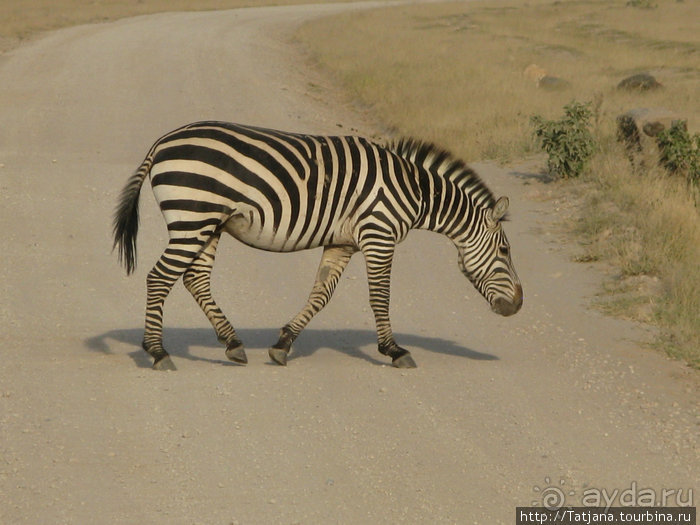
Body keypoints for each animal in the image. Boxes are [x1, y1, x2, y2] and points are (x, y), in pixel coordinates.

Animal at [113, 121, 520, 370]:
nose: (517, 306)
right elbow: (380, 297)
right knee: (158, 278)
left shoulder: (343, 242)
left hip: (208, 224)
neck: (415, 191)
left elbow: (320, 294)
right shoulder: (379, 234)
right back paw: (158, 352)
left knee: (194, 279)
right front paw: (394, 350)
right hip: (193, 217)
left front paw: (282, 345)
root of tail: (163, 141)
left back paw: (232, 344)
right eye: (505, 251)